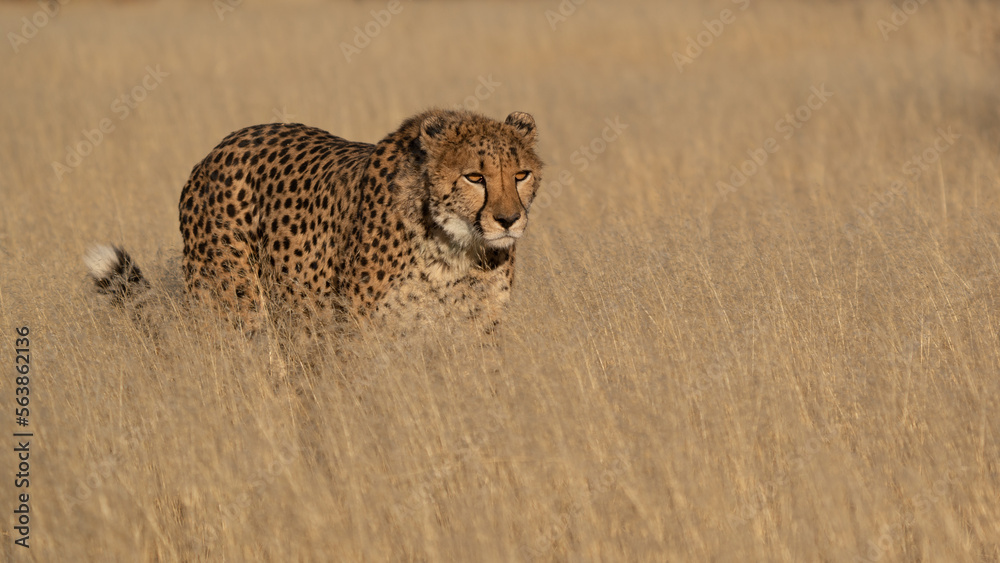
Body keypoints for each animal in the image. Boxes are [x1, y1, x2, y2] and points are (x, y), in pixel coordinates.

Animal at [85, 109, 544, 333]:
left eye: (521, 175)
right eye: (475, 177)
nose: (508, 220)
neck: (455, 245)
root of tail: (219, 148)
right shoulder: (360, 331)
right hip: (237, 308)